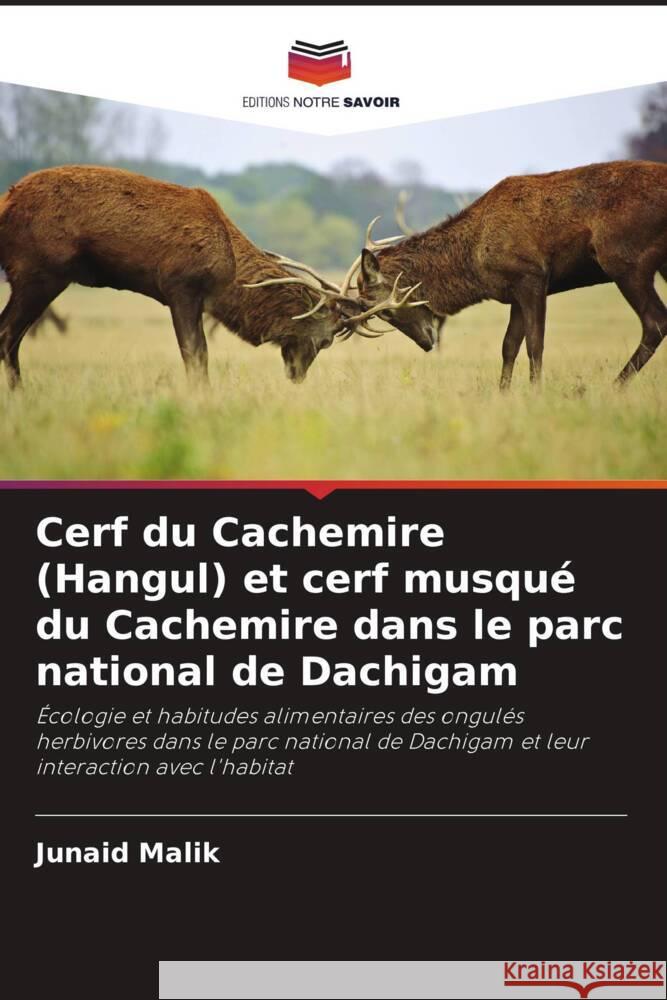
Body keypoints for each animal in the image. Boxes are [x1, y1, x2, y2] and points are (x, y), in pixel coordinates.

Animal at [0, 165, 378, 389]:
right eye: (325, 340)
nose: (296, 377)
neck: (229, 275)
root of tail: (6, 202)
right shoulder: (180, 287)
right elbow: (196, 355)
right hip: (40, 271)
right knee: (8, 334)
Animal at [344, 161, 667, 388]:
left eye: (386, 312)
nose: (427, 343)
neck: (475, 259)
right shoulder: (514, 291)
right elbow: (509, 345)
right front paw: (504, 393)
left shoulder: (532, 276)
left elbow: (535, 344)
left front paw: (536, 392)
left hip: (626, 260)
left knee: (655, 322)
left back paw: (615, 386)